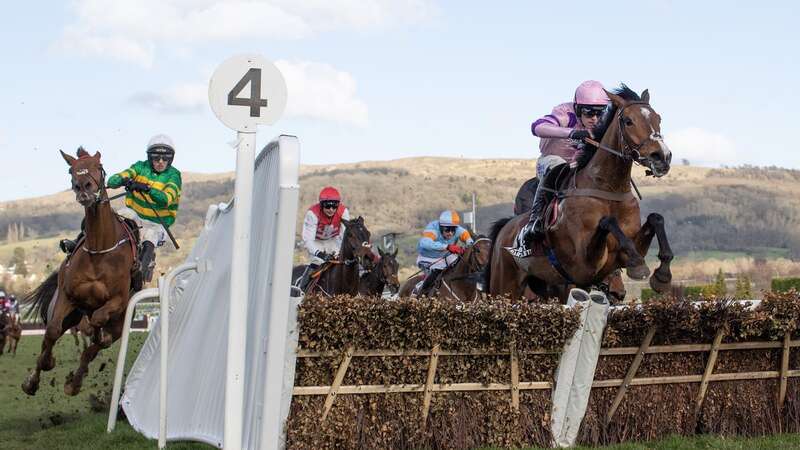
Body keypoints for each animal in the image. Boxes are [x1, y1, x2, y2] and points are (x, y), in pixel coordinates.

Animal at [21, 148, 138, 394]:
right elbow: (52, 332)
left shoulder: (119, 300)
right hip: (69, 313)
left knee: (93, 346)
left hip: (120, 323)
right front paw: (45, 366)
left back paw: (75, 380)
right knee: (52, 337)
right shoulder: (67, 297)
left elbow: (98, 322)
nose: (83, 187)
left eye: (99, 166)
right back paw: (39, 379)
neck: (99, 250)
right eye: (71, 169)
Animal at [484, 85, 672, 302]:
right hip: (503, 286)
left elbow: (656, 218)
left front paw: (662, 276)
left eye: (658, 119)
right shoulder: (581, 265)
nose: (662, 157)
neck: (608, 189)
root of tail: (506, 227)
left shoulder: (619, 255)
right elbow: (607, 221)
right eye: (628, 121)